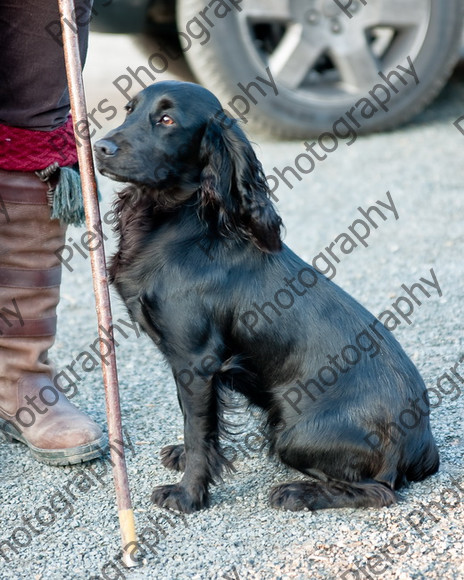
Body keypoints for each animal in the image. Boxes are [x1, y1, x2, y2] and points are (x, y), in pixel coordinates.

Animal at [94, 80, 438, 512]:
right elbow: (197, 425)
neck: (180, 225)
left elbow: (198, 429)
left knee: (379, 491)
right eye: (129, 110)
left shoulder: (196, 359)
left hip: (292, 434)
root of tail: (422, 442)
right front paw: (185, 461)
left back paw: (296, 492)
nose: (99, 146)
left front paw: (188, 494)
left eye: (167, 120)